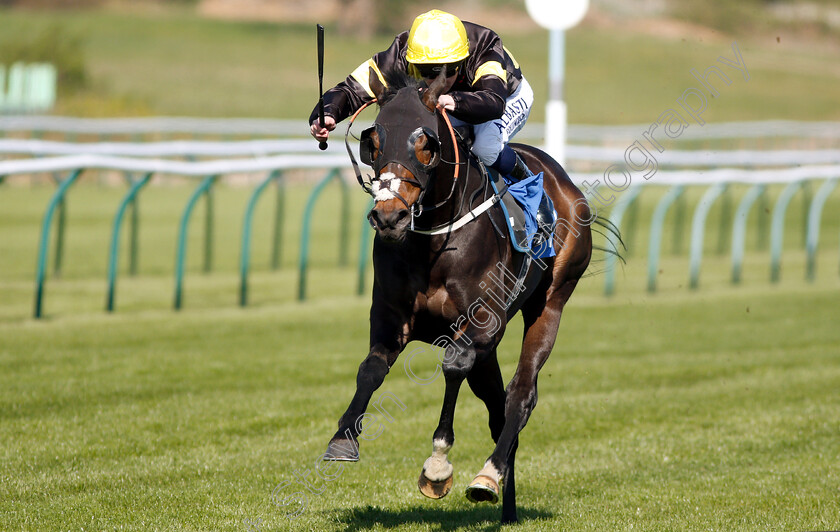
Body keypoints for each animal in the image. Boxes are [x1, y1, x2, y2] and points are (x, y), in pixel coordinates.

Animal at [324, 68, 592, 520]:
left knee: (521, 394)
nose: (389, 216)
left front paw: (438, 465)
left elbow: (453, 367)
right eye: (372, 143)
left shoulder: (482, 323)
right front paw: (343, 439)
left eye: (425, 144)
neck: (433, 240)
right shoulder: (392, 320)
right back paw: (507, 505)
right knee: (498, 407)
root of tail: (563, 179)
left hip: (551, 302)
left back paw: (489, 475)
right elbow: (370, 370)